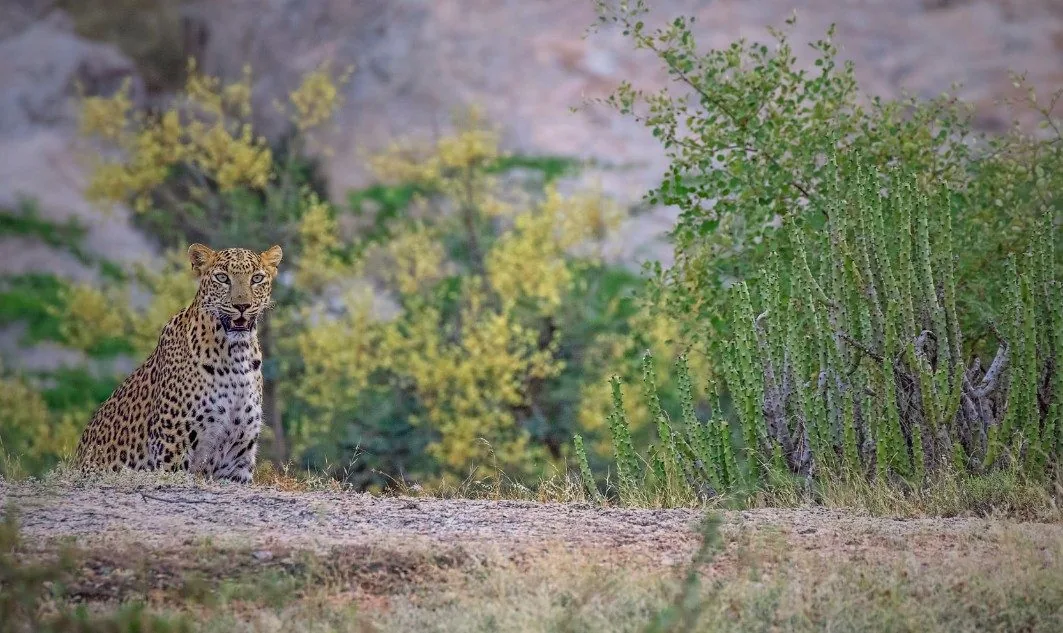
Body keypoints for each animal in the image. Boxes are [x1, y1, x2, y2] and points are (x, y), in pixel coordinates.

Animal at [74, 243, 283, 483]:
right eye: (222, 278)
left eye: (257, 278)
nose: (242, 306)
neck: (236, 356)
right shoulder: (171, 443)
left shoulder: (238, 455)